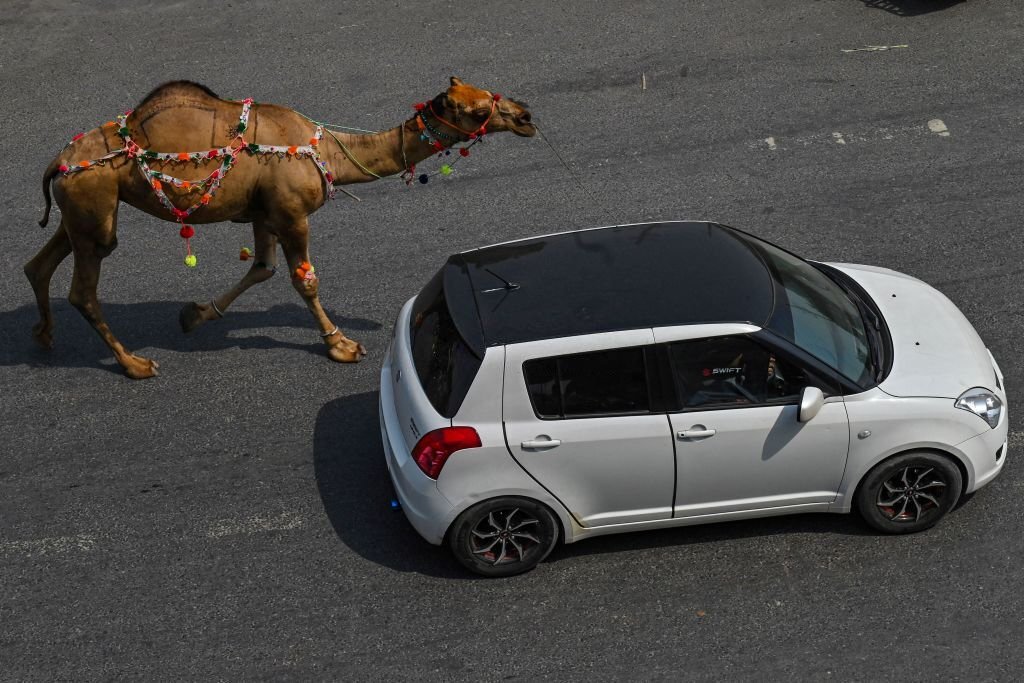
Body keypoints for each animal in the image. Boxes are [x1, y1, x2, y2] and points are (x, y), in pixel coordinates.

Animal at [24, 77, 536, 379]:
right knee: (84, 289)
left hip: (81, 208)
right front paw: (342, 345)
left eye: (490, 91)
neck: (325, 150)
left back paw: (44, 335)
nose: (526, 115)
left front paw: (195, 315)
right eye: (479, 111)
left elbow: (262, 269)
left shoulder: (263, 212)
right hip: (95, 205)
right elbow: (303, 280)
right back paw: (134, 363)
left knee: (39, 263)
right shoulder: (291, 212)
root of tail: (56, 163)